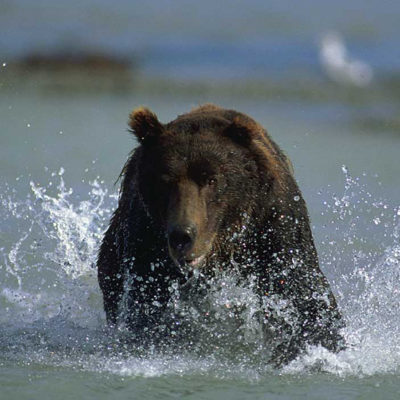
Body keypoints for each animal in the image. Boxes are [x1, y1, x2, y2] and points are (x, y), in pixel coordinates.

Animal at [97, 104, 344, 366]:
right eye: (165, 180)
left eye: (211, 179)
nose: (182, 235)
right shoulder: (146, 237)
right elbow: (147, 300)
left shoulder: (274, 225)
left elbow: (302, 292)